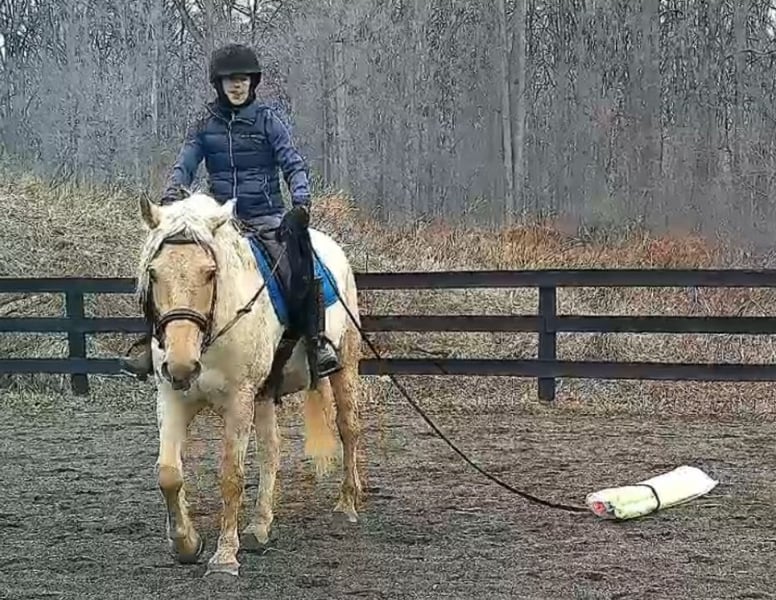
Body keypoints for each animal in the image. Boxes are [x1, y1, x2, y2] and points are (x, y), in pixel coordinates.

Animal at [135, 191, 363, 577]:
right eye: (153, 272)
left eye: (210, 273)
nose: (181, 364)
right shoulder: (172, 397)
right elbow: (168, 473)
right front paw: (186, 544)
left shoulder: (238, 401)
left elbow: (231, 476)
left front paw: (225, 556)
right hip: (265, 393)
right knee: (271, 450)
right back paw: (259, 527)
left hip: (344, 366)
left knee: (348, 428)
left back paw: (347, 504)